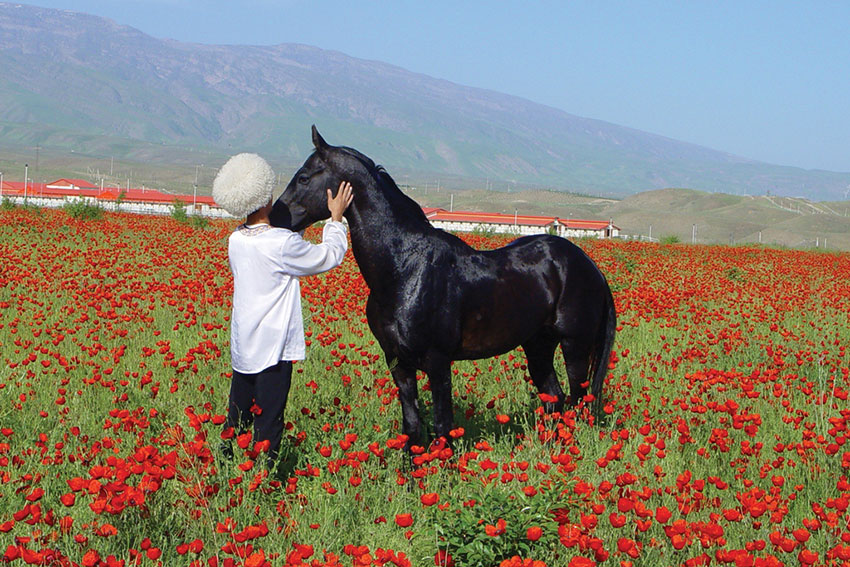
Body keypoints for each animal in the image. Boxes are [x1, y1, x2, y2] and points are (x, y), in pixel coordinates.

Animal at [274, 127, 612, 448]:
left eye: (304, 177)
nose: (276, 218)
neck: (405, 268)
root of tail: (589, 266)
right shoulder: (398, 363)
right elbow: (412, 428)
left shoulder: (438, 363)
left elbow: (442, 427)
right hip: (538, 345)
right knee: (555, 400)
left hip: (575, 346)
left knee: (578, 402)